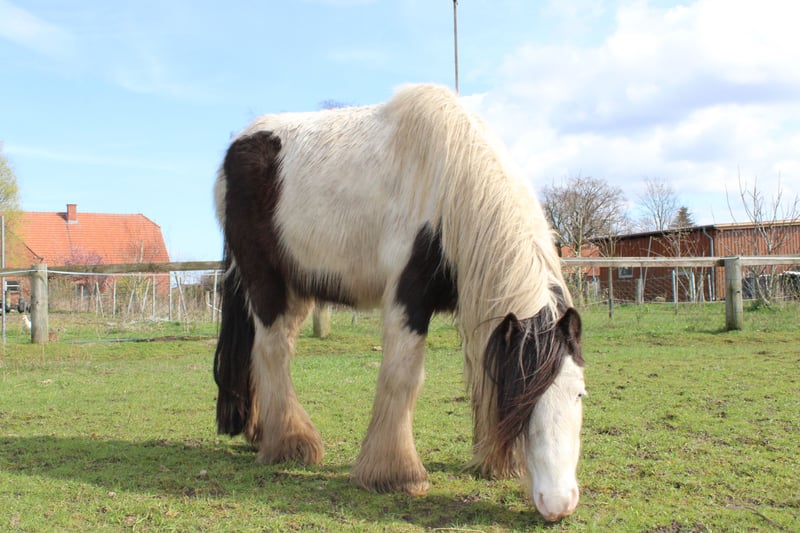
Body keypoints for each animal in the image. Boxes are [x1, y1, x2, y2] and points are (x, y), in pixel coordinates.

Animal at [213, 83, 586, 522]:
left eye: (579, 394)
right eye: (522, 397)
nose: (559, 503)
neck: (450, 179)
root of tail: (237, 146)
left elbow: (480, 371)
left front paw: (495, 462)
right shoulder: (407, 298)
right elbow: (402, 376)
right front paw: (394, 472)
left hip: (298, 287)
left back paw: (262, 432)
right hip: (266, 282)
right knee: (273, 351)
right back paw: (290, 443)